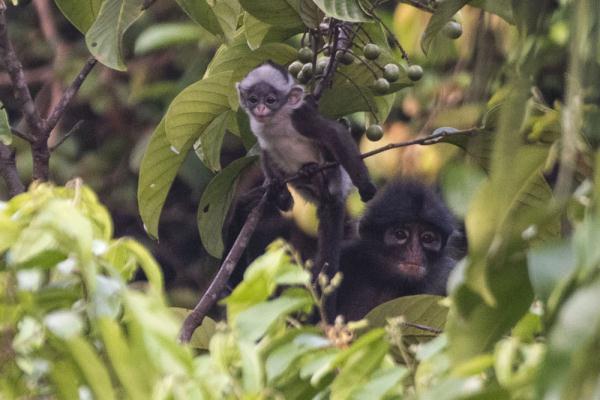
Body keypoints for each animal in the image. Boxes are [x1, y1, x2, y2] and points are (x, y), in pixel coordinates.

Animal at [238, 61, 376, 318]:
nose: (260, 108)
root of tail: (334, 195)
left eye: (270, 99)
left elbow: (333, 133)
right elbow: (265, 151)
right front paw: (274, 188)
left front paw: (365, 185)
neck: (275, 121)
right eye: (253, 99)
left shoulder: (301, 117)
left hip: (335, 174)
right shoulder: (258, 128)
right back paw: (285, 194)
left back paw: (313, 171)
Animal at [338, 181, 460, 322]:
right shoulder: (346, 258)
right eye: (400, 234)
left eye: (427, 238)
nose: (414, 251)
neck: (390, 282)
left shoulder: (447, 273)